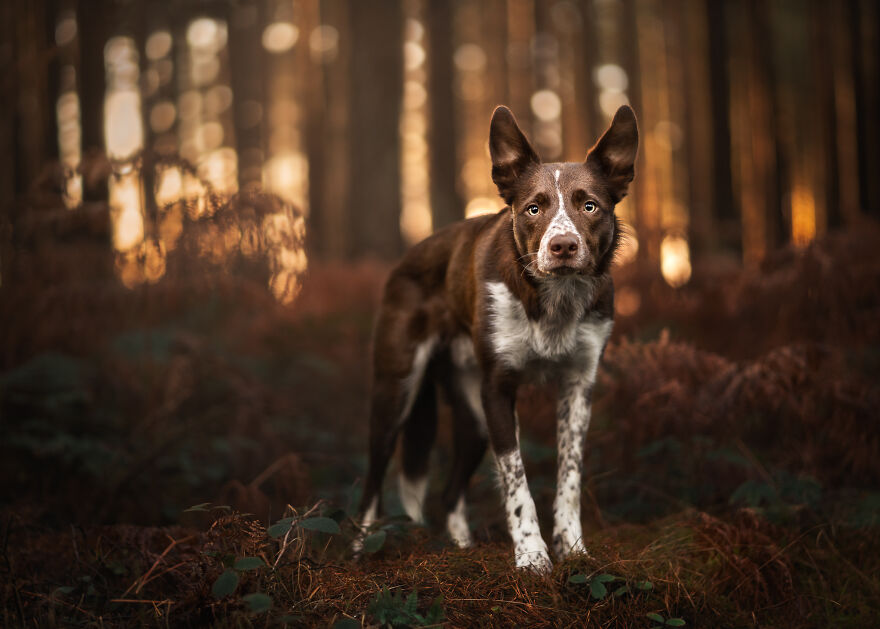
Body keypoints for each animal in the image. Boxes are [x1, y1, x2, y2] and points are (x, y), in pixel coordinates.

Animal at [358, 104, 640, 568]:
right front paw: (532, 557)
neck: (553, 300)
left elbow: (569, 476)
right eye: (533, 209)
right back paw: (360, 551)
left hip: (472, 416)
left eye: (590, 205)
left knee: (450, 494)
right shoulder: (498, 389)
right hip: (396, 392)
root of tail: (406, 259)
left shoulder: (579, 387)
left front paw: (572, 548)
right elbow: (516, 480)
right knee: (372, 484)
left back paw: (461, 548)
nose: (563, 246)